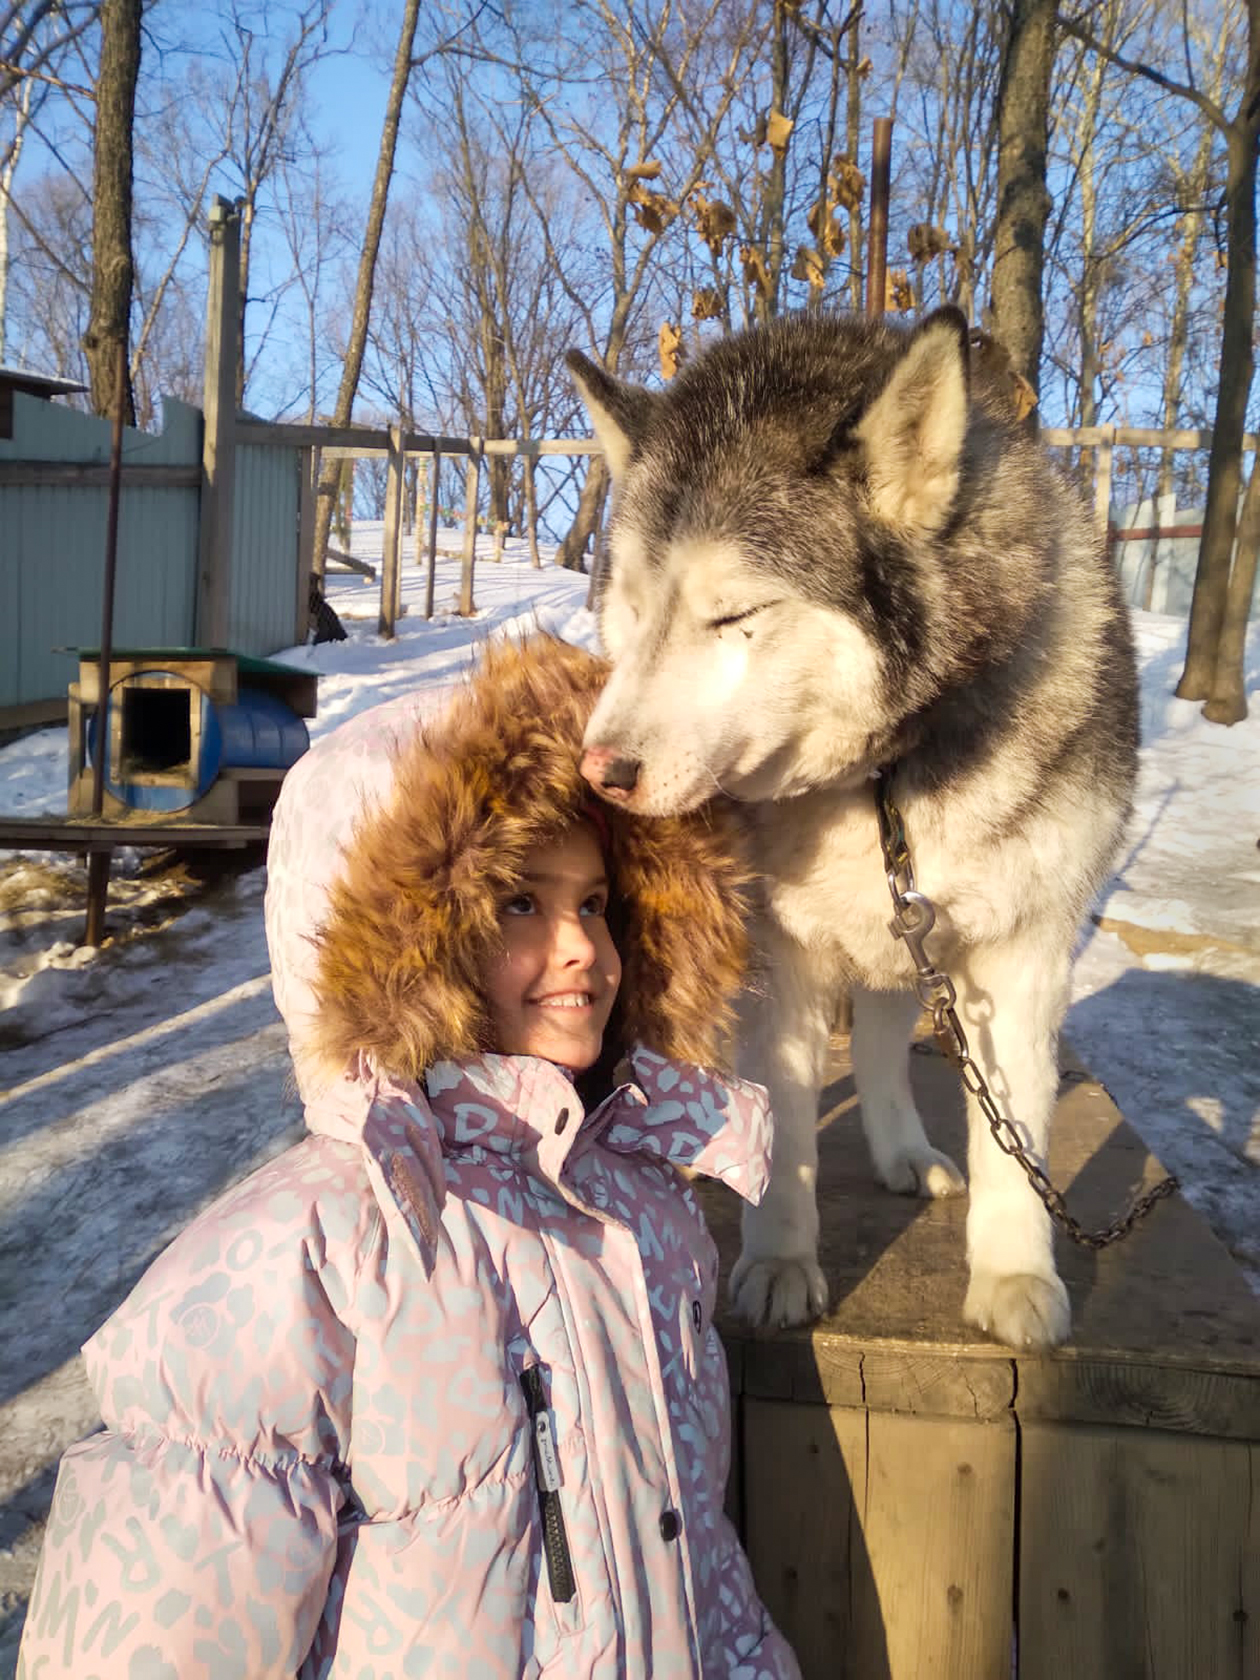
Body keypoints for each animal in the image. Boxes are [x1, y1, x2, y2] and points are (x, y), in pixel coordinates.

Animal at [571, 309, 1142, 1344]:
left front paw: (1013, 1277)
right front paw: (778, 1261)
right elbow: (785, 1124)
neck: (885, 774)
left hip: (906, 941)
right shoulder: (780, 957)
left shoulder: (1023, 950)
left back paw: (902, 1151)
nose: (602, 772)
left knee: (879, 1038)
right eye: (630, 608)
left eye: (735, 613)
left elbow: (1016, 1141)